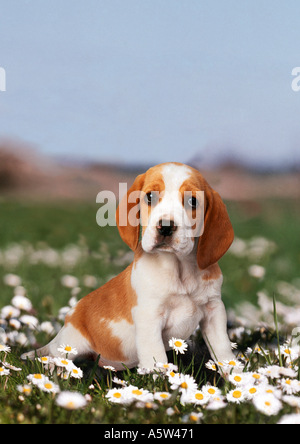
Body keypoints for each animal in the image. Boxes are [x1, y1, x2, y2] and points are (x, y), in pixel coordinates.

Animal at [21, 161, 237, 370]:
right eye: (150, 197)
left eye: (192, 201)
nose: (165, 227)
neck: (180, 269)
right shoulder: (149, 316)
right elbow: (157, 359)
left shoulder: (214, 310)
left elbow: (224, 351)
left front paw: (236, 377)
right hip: (71, 343)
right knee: (54, 359)